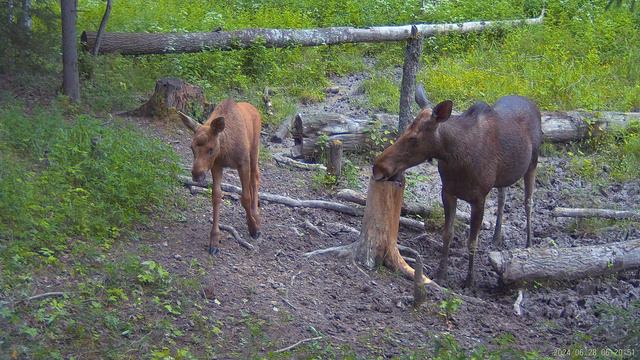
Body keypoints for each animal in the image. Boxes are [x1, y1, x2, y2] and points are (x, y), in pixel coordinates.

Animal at [179, 100, 262, 255]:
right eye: (191, 148)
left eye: (211, 149)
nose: (196, 174)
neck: (225, 150)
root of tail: (255, 109)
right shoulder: (216, 165)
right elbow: (216, 196)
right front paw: (214, 241)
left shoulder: (243, 163)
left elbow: (245, 198)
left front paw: (253, 228)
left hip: (254, 150)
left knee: (255, 178)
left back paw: (256, 216)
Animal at [372, 83, 544, 286]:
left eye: (413, 138)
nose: (378, 167)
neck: (455, 157)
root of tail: (533, 104)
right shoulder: (447, 191)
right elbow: (447, 233)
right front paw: (441, 274)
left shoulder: (478, 198)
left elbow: (472, 241)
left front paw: (470, 281)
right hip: (504, 175)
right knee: (503, 197)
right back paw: (496, 237)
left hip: (533, 162)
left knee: (528, 202)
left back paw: (529, 243)